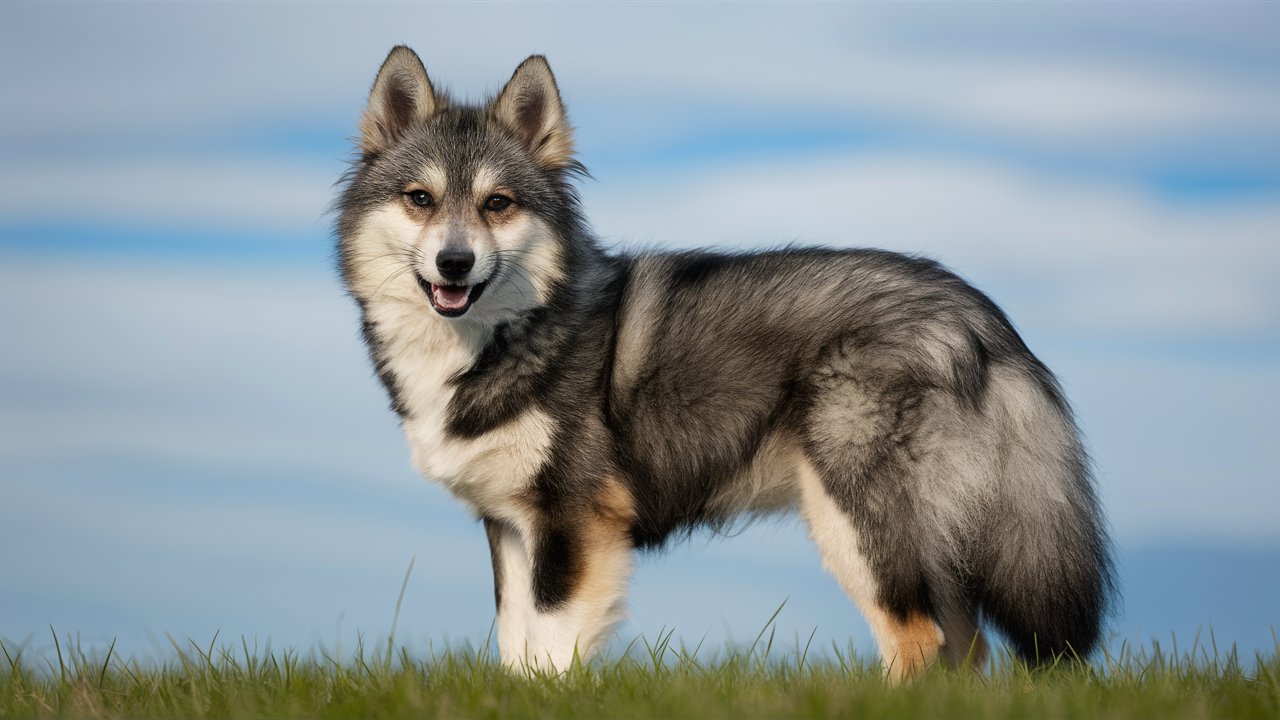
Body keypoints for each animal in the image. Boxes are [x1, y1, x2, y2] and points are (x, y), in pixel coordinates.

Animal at [337, 46, 1111, 676]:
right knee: (966, 650)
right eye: (420, 199)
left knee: (919, 642)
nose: (455, 263)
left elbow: (552, 645)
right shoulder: (511, 526)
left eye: (497, 203)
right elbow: (515, 643)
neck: (515, 331)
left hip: (858, 520)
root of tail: (982, 317)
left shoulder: (574, 521)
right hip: (933, 543)